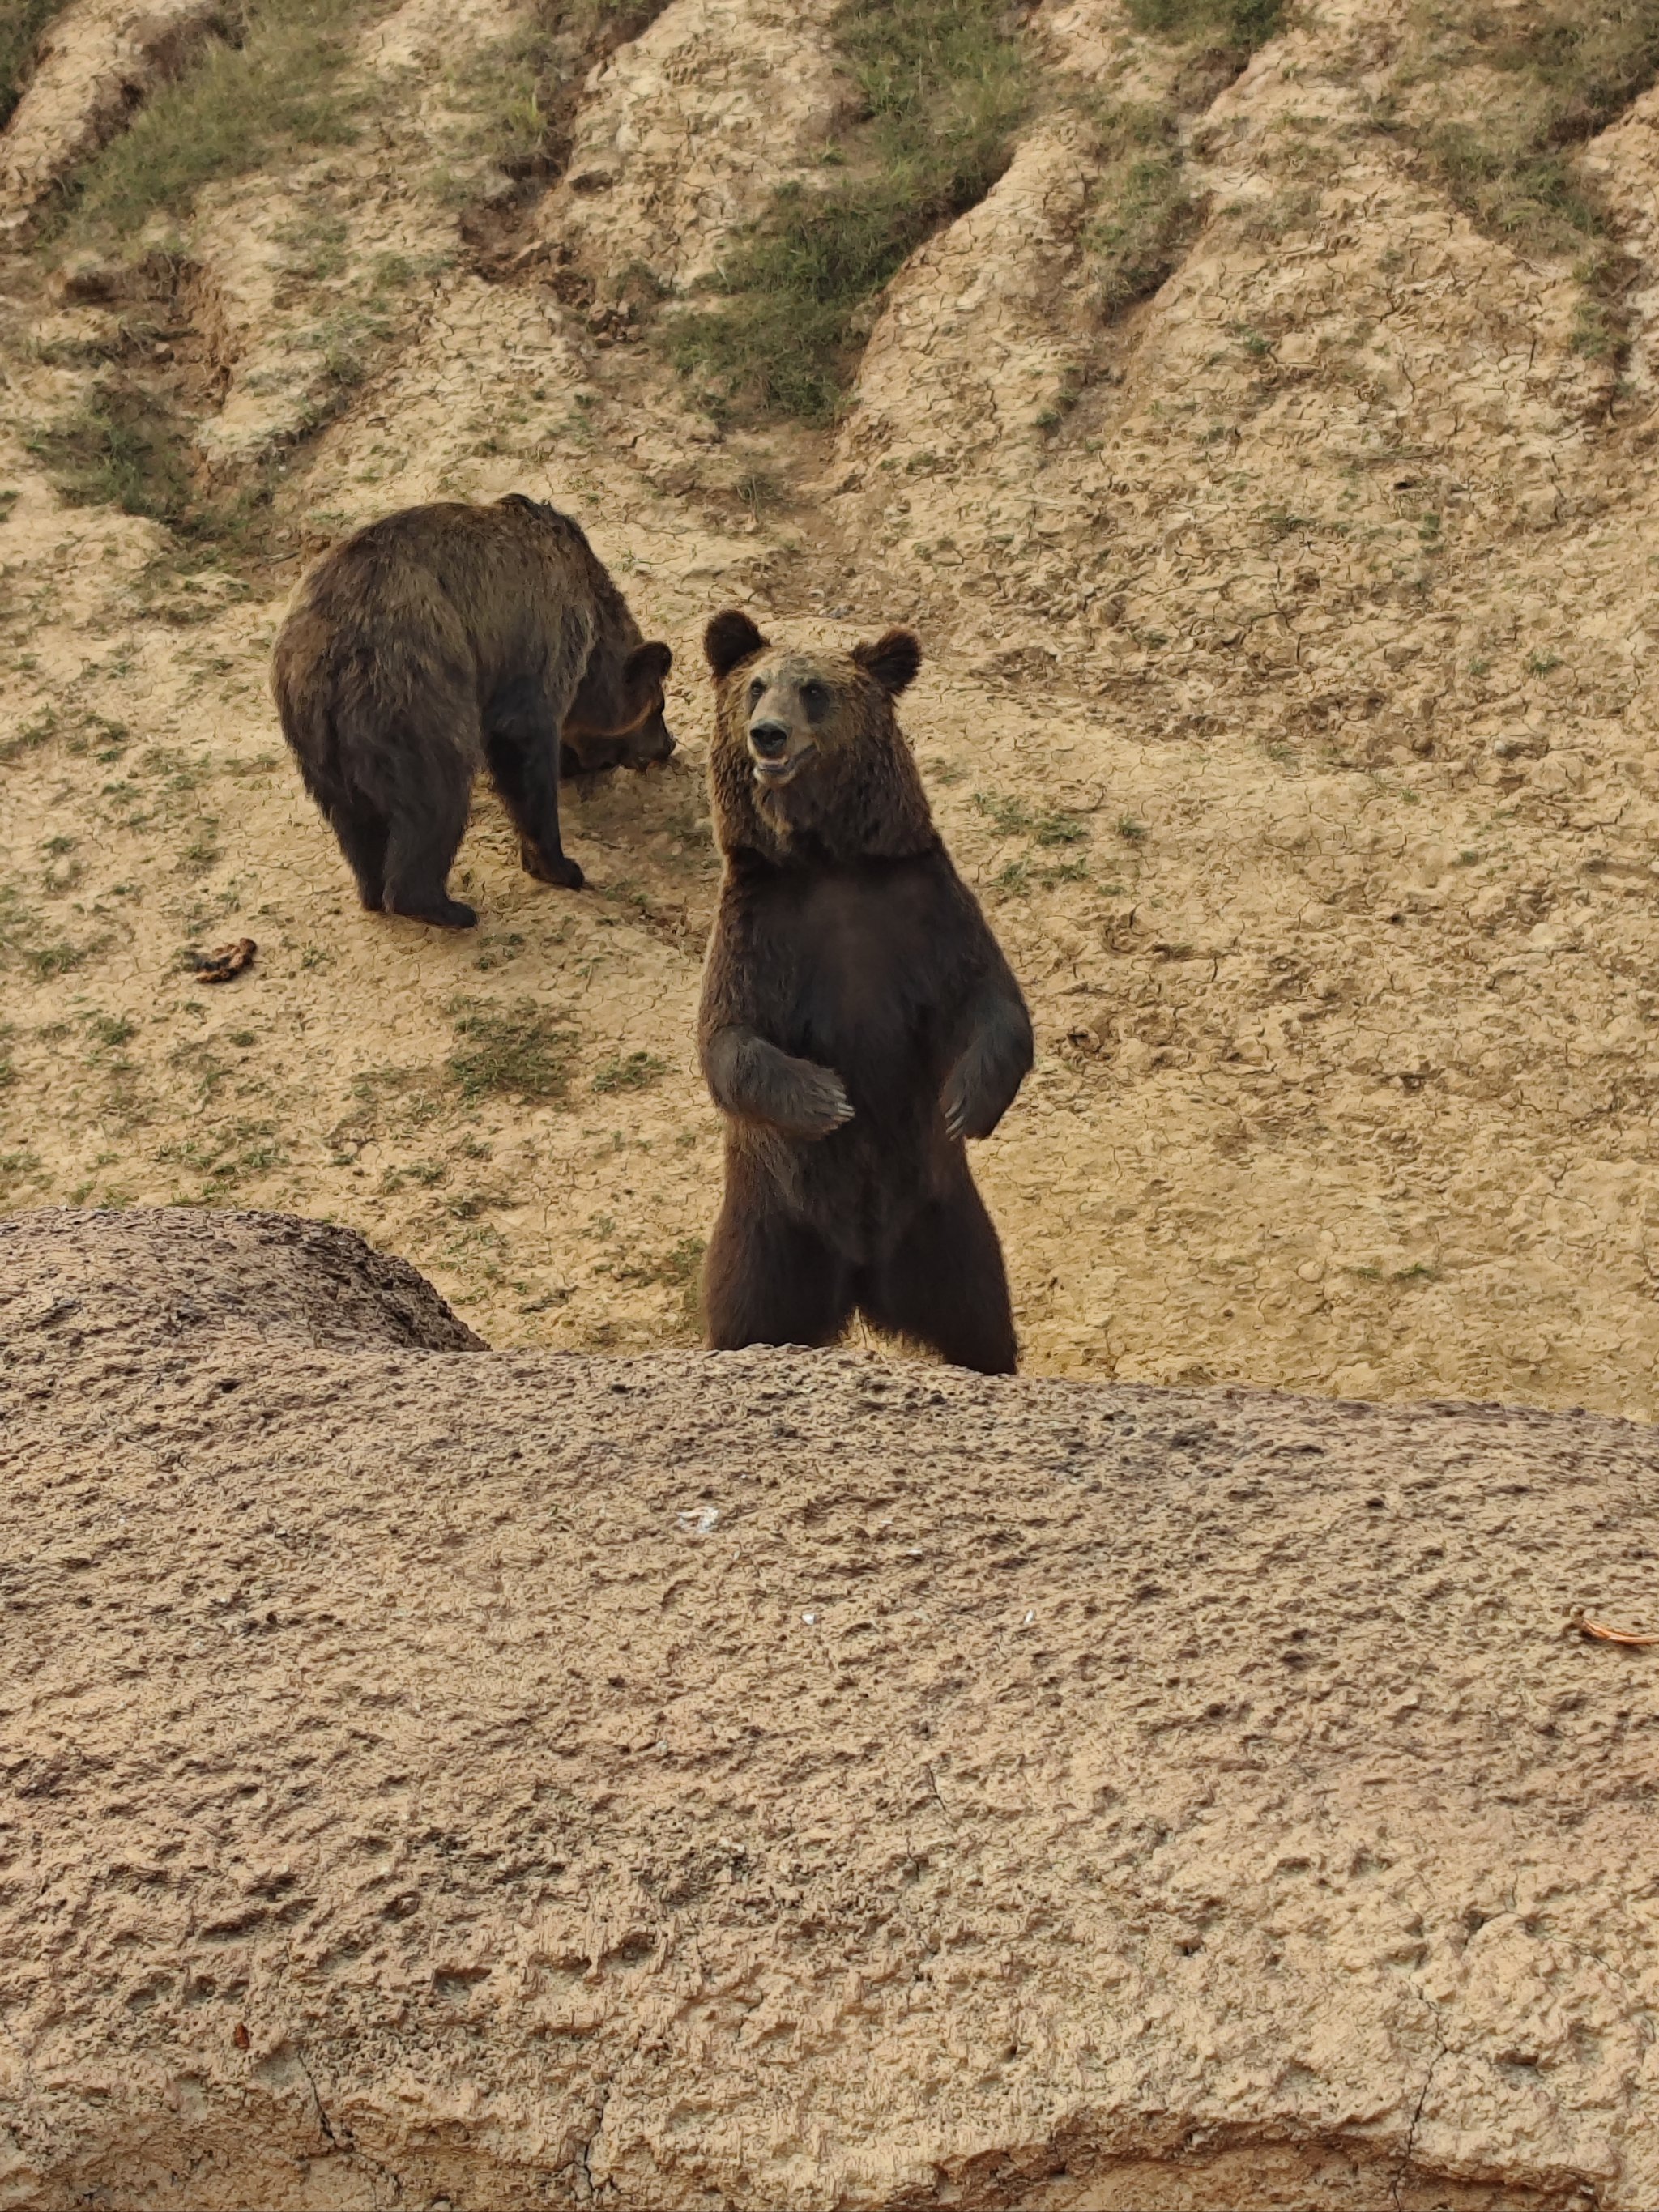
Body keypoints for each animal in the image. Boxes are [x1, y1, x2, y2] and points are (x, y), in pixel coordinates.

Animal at [270, 497, 672, 929]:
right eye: (660, 707)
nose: (667, 745)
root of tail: (326, 650)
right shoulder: (539, 635)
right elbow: (524, 740)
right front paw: (560, 866)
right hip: (414, 686)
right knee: (437, 793)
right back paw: (442, 906)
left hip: (313, 727)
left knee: (352, 816)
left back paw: (374, 891)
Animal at [694, 606, 1034, 1362]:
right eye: (755, 685)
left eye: (814, 689)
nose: (769, 733)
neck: (830, 860)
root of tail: (860, 1275)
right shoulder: (762, 927)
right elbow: (728, 1037)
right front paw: (826, 1098)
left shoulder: (921, 910)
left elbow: (992, 1002)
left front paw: (965, 1100)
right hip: (771, 1229)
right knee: (747, 1312)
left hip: (944, 1220)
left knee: (979, 1316)